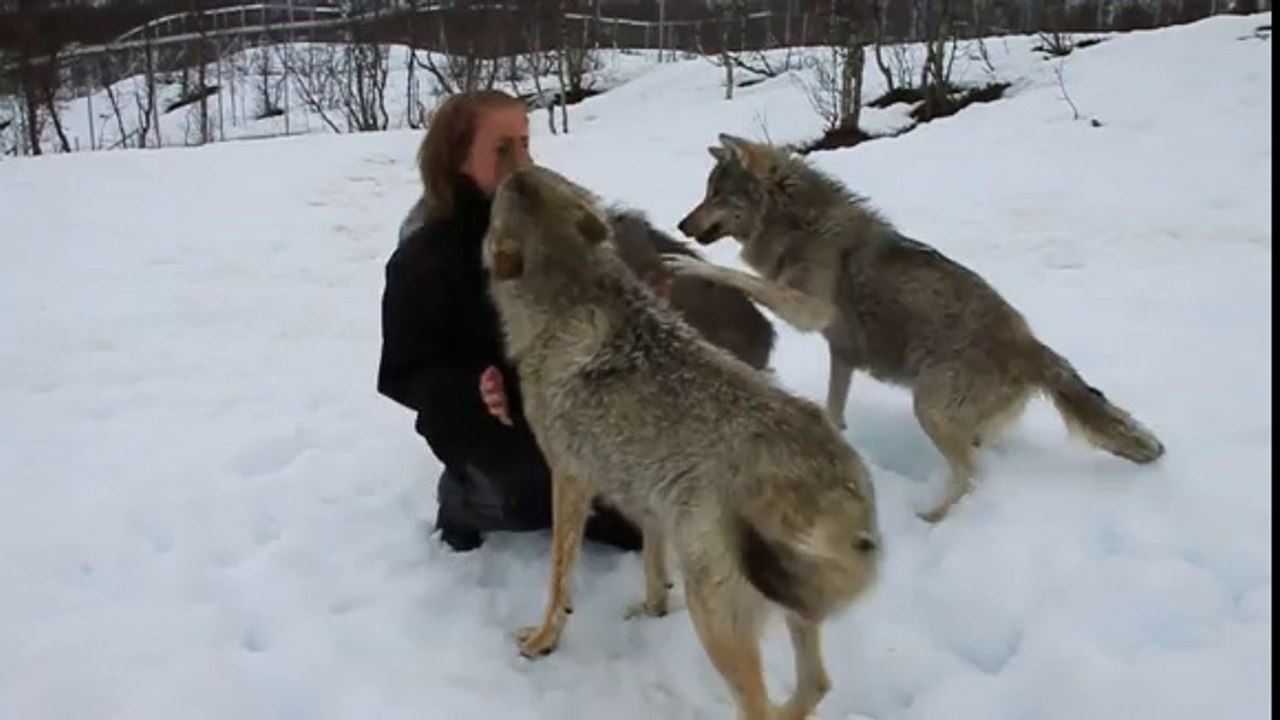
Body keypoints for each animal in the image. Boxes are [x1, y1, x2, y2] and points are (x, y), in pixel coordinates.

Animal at [482, 163, 881, 720]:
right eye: (533, 173)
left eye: (503, 190)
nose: (513, 164)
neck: (575, 294)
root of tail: (847, 482)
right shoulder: (650, 498)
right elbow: (652, 565)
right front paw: (651, 609)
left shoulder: (569, 476)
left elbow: (559, 577)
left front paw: (543, 641)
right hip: (789, 610)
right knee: (814, 686)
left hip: (714, 615)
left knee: (762, 705)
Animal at [668, 133, 1166, 523]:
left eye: (717, 194)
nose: (681, 224)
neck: (797, 222)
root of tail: (1034, 347)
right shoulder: (842, 353)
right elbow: (834, 411)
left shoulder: (809, 313)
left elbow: (736, 277)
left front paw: (688, 265)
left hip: (928, 408)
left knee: (972, 475)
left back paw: (932, 517)